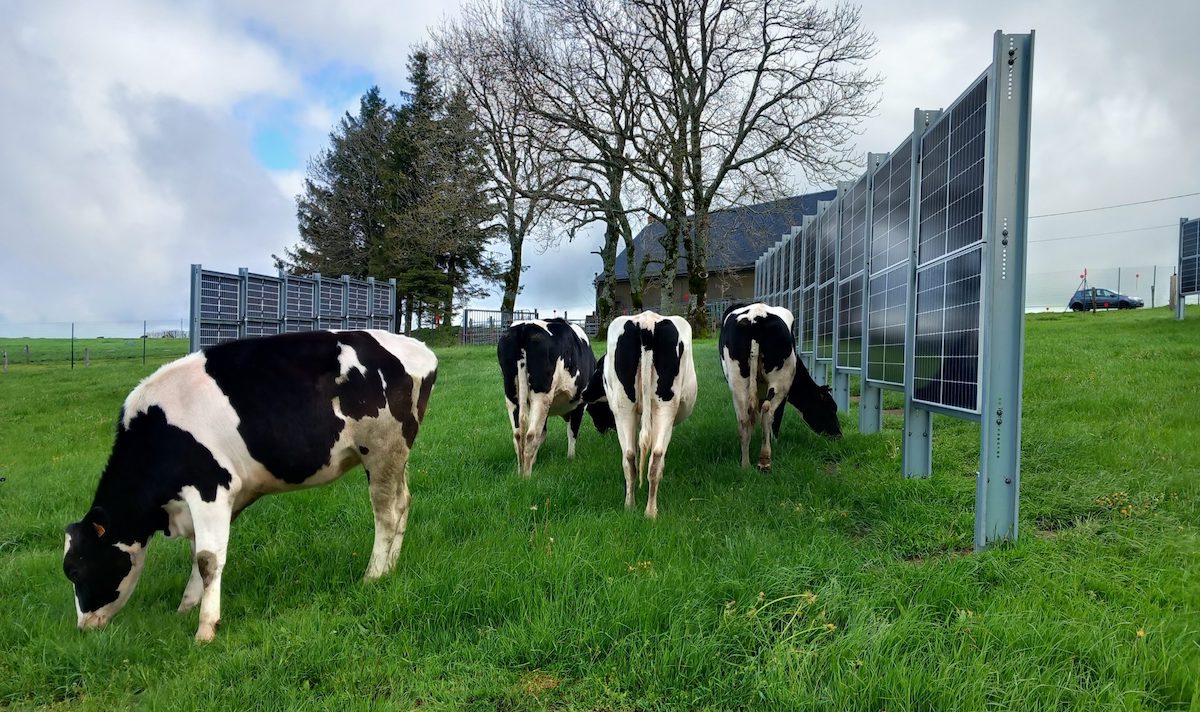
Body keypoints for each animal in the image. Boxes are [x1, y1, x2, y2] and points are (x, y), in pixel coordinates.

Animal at [60, 331, 436, 643]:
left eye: (74, 569)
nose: (83, 627)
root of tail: (415, 347)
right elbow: (197, 555)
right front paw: (186, 607)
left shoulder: (210, 487)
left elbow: (208, 559)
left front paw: (205, 628)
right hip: (396, 456)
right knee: (403, 503)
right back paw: (391, 569)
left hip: (381, 450)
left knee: (386, 514)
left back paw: (373, 575)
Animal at [494, 316, 597, 477]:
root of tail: (524, 327)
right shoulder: (580, 403)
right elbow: (572, 432)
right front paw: (571, 459)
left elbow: (543, 432)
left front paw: (535, 460)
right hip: (541, 395)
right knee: (531, 435)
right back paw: (526, 477)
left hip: (511, 393)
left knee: (518, 435)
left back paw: (520, 472)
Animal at [580, 312, 696, 516]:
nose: (600, 429)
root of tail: (647, 322)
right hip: (665, 407)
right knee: (656, 455)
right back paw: (651, 511)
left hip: (624, 407)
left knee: (630, 456)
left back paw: (632, 507)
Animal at [720, 301, 844, 473]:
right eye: (831, 409)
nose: (838, 435)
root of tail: (756, 316)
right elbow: (776, 418)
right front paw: (775, 442)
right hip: (780, 381)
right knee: (768, 411)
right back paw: (765, 460)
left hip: (738, 383)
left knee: (744, 418)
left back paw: (745, 464)